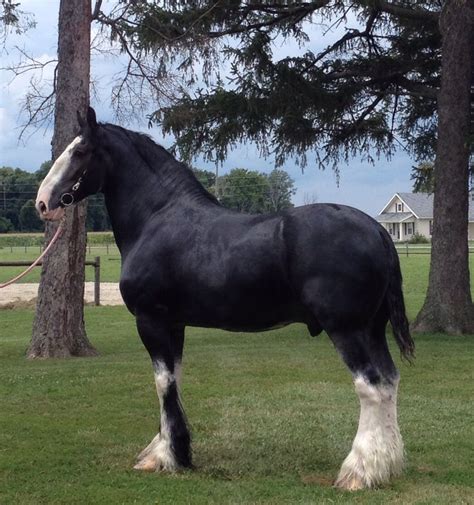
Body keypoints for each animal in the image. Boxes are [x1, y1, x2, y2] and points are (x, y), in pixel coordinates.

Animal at [37, 108, 412, 490]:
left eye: (79, 151)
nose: (43, 202)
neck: (157, 217)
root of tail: (378, 230)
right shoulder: (174, 324)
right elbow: (174, 379)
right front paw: (169, 450)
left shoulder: (151, 320)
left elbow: (162, 382)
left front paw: (168, 456)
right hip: (372, 330)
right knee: (390, 381)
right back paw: (386, 465)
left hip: (347, 330)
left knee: (371, 387)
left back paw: (359, 471)